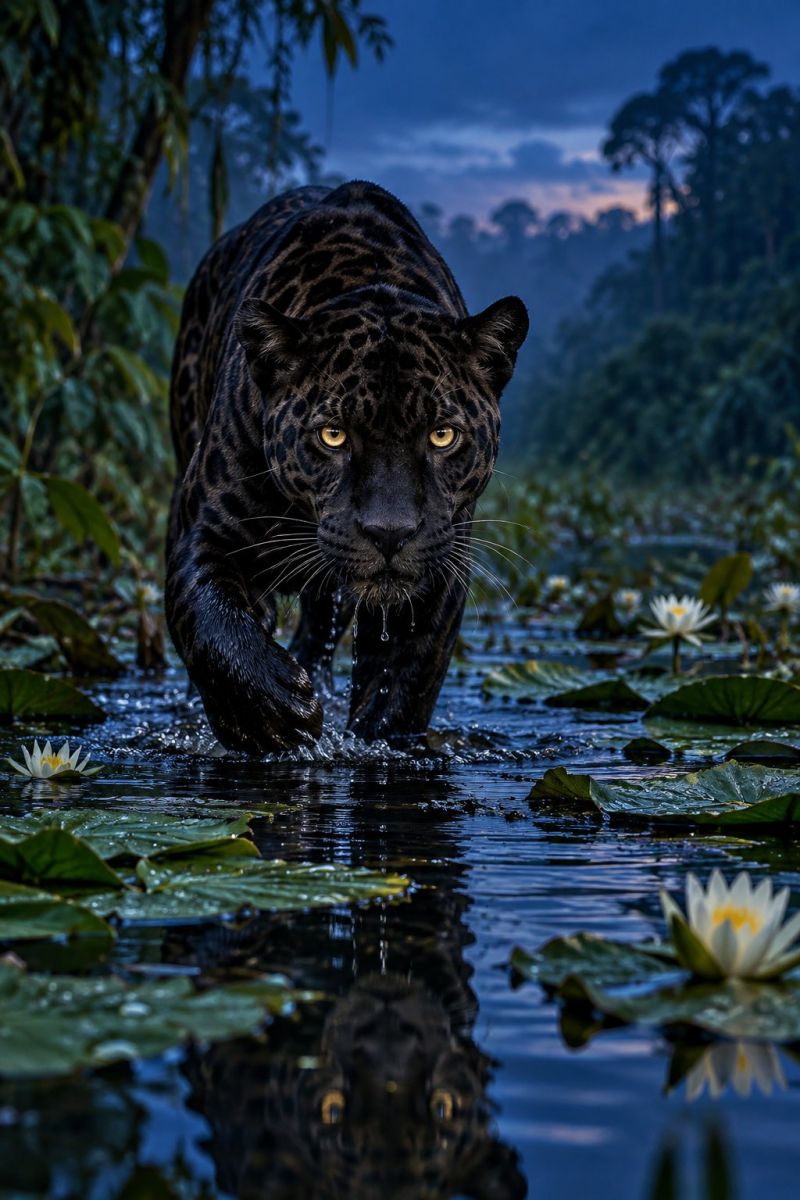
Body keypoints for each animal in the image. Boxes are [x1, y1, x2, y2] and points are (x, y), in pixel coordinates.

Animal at [166, 180, 528, 753]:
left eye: (442, 435)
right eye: (332, 435)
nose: (389, 533)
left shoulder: (438, 570)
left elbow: (401, 684)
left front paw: (375, 740)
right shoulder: (206, 529)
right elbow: (208, 619)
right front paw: (272, 711)